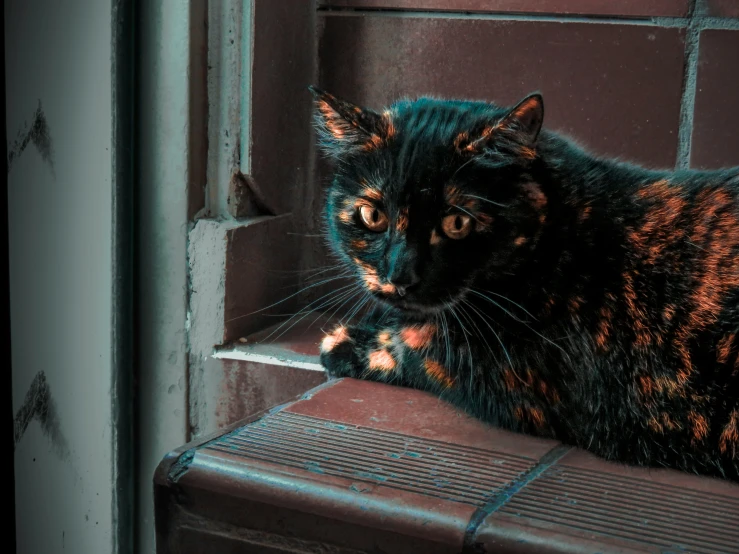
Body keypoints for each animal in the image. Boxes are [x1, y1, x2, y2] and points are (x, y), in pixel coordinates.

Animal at [308, 84, 739, 480]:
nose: (400, 275)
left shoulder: (514, 385)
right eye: (372, 215)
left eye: (457, 223)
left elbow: (415, 351)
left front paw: (345, 342)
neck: (559, 239)